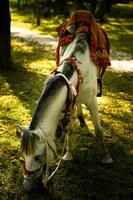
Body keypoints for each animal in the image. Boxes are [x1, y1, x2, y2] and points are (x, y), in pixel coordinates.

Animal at [17, 32, 112, 191]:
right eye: (23, 154)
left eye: (38, 157)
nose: (27, 186)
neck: (78, 71)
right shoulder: (70, 101)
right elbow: (70, 131)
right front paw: (68, 155)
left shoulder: (92, 101)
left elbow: (99, 130)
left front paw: (106, 158)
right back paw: (80, 118)